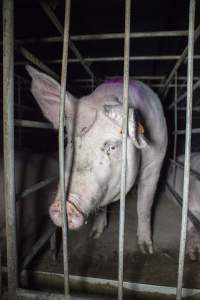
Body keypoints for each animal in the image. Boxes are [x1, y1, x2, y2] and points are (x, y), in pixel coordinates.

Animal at [25, 65, 168, 253]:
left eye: (112, 146)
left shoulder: (155, 161)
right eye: (70, 141)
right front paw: (94, 235)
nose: (65, 206)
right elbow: (100, 208)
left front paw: (146, 249)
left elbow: (144, 205)